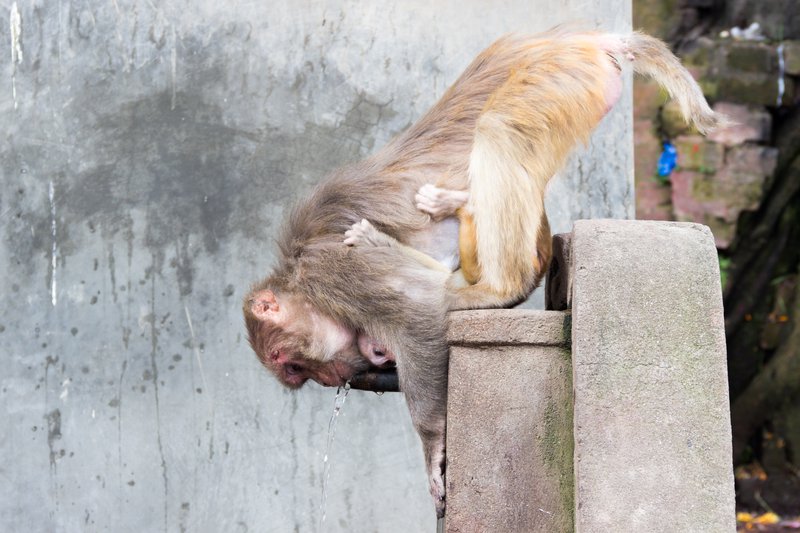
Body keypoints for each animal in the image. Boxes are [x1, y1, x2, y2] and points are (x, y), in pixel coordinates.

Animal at [245, 29, 724, 516]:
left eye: (292, 366)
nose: (328, 379)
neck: (297, 274)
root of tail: (581, 38)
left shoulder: (332, 269)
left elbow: (420, 312)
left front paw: (433, 446)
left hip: (555, 82)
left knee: (499, 129)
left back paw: (497, 284)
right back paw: (460, 209)